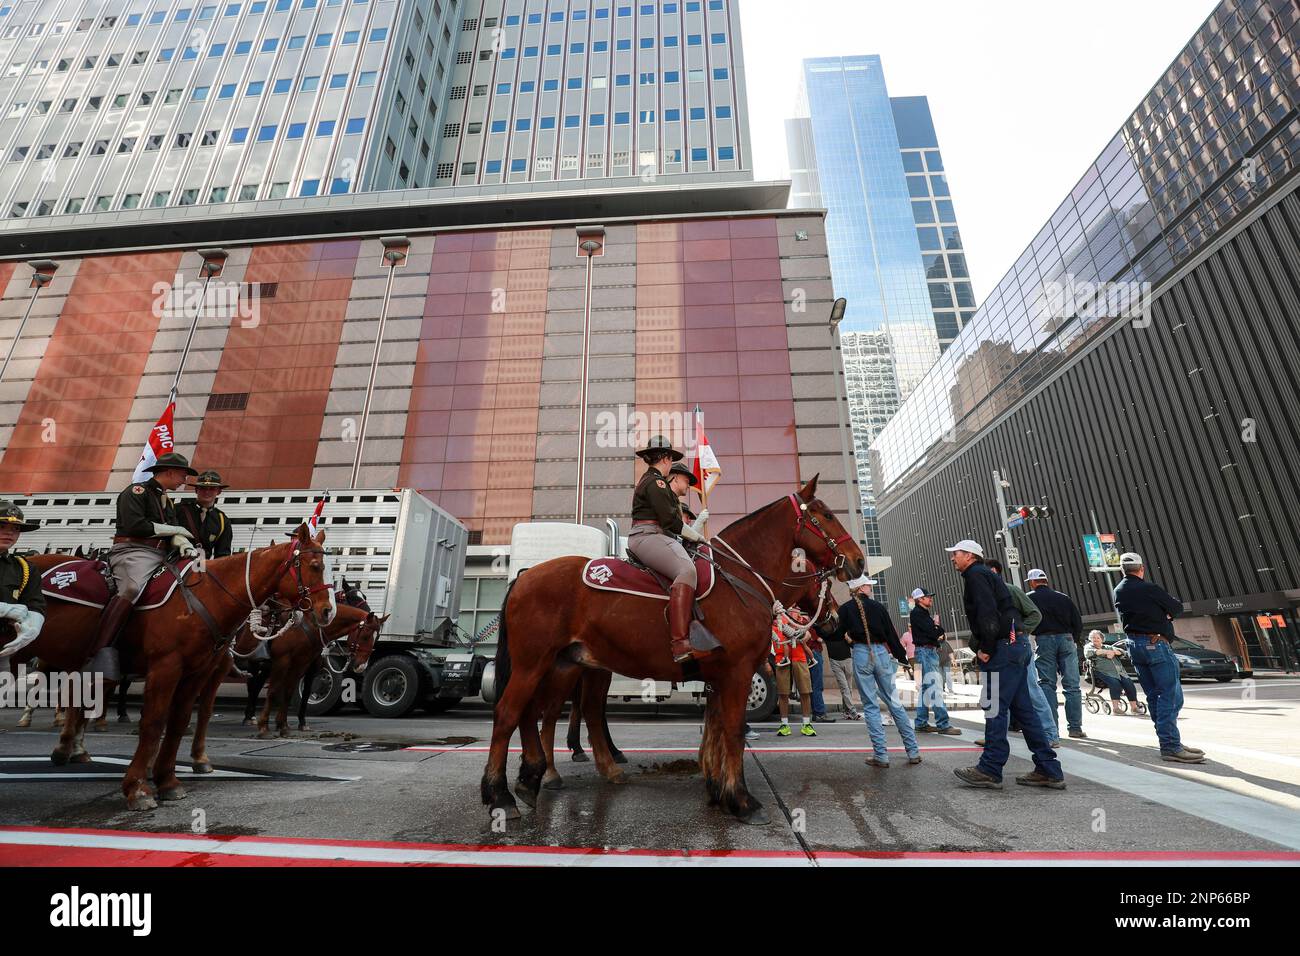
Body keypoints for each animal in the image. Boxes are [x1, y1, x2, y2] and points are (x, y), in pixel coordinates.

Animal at [10, 528, 335, 811]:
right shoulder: (166, 667)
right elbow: (154, 723)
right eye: (315, 565)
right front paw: (138, 787)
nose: (327, 612)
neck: (209, 596)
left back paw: (71, 747)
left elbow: (181, 721)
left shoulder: (197, 671)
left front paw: (168, 780)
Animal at [480, 476, 863, 827]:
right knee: (510, 714)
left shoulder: (718, 677)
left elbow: (715, 729)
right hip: (535, 664)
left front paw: (718, 789)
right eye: (827, 515)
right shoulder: (738, 673)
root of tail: (526, 576)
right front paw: (741, 800)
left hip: (559, 664)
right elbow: (734, 731)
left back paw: (533, 778)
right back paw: (501, 794)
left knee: (538, 713)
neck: (741, 580)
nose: (858, 562)